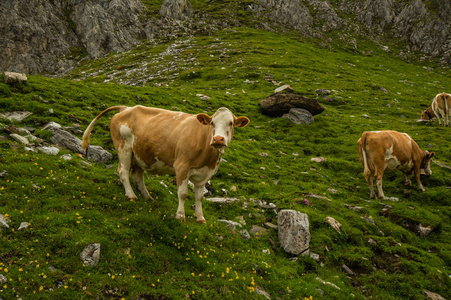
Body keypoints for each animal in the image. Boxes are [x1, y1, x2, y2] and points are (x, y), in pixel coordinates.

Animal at [81, 105, 251, 223]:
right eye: (212, 123)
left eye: (231, 123)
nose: (218, 139)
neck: (208, 157)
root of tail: (125, 108)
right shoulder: (181, 166)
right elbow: (183, 194)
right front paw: (180, 215)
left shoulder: (205, 174)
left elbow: (199, 197)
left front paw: (200, 218)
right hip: (124, 147)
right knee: (123, 171)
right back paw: (131, 195)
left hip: (140, 154)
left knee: (137, 175)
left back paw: (147, 196)